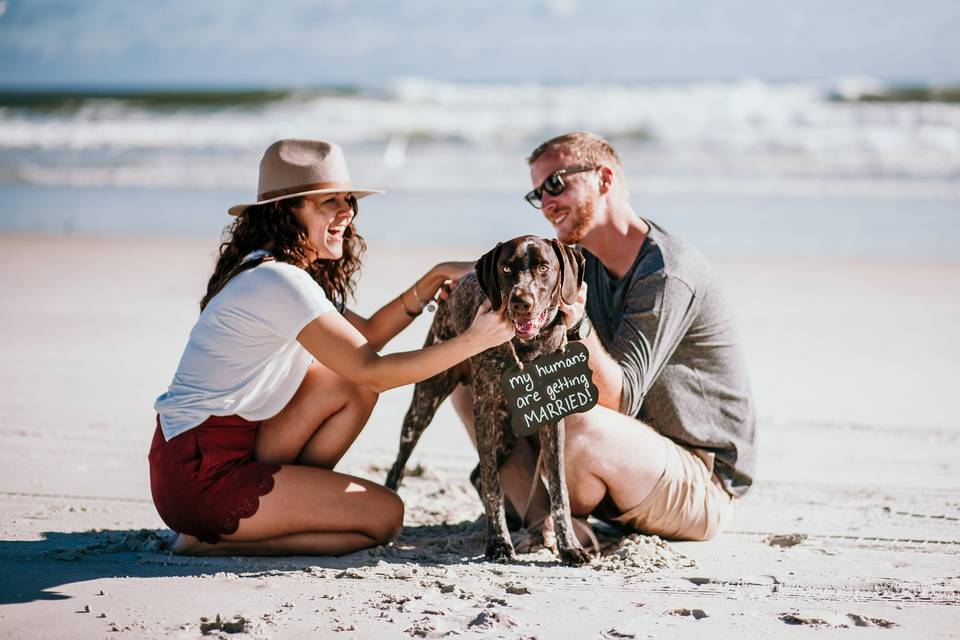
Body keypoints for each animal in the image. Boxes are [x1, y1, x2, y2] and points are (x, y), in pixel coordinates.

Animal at [386, 235, 588, 564]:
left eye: (544, 267)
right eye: (506, 268)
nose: (521, 301)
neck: (525, 347)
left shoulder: (552, 416)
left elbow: (559, 489)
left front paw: (569, 545)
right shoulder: (483, 408)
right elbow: (494, 484)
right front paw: (498, 543)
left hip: (506, 432)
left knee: (476, 476)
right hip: (423, 407)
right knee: (399, 466)